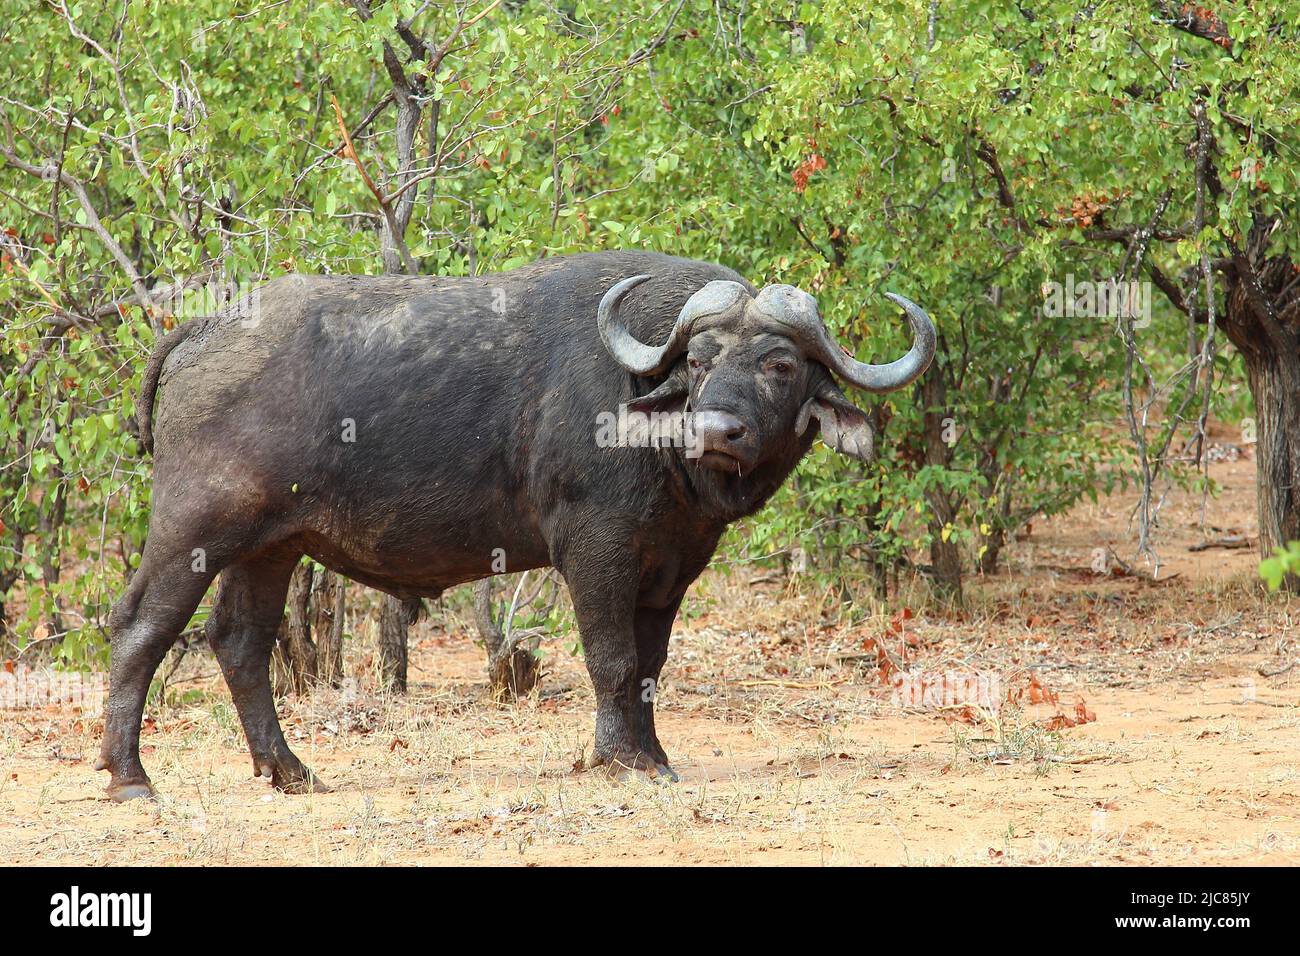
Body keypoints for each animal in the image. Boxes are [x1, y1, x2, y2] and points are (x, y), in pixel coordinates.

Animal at [98, 250, 934, 800]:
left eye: (780, 365)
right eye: (697, 361)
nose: (716, 430)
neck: (654, 437)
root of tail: (205, 329)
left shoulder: (672, 569)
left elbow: (652, 667)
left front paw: (653, 754)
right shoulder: (595, 551)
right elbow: (613, 660)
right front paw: (613, 759)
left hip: (271, 547)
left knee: (239, 643)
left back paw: (290, 771)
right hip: (194, 530)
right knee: (140, 627)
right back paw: (130, 775)